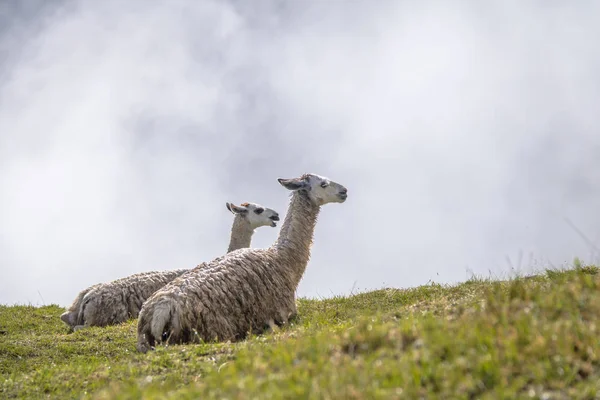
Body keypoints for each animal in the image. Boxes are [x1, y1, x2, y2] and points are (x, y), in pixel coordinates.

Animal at [135, 173, 346, 352]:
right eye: (323, 184)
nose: (344, 191)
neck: (282, 258)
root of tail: (159, 311)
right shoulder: (286, 313)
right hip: (211, 331)